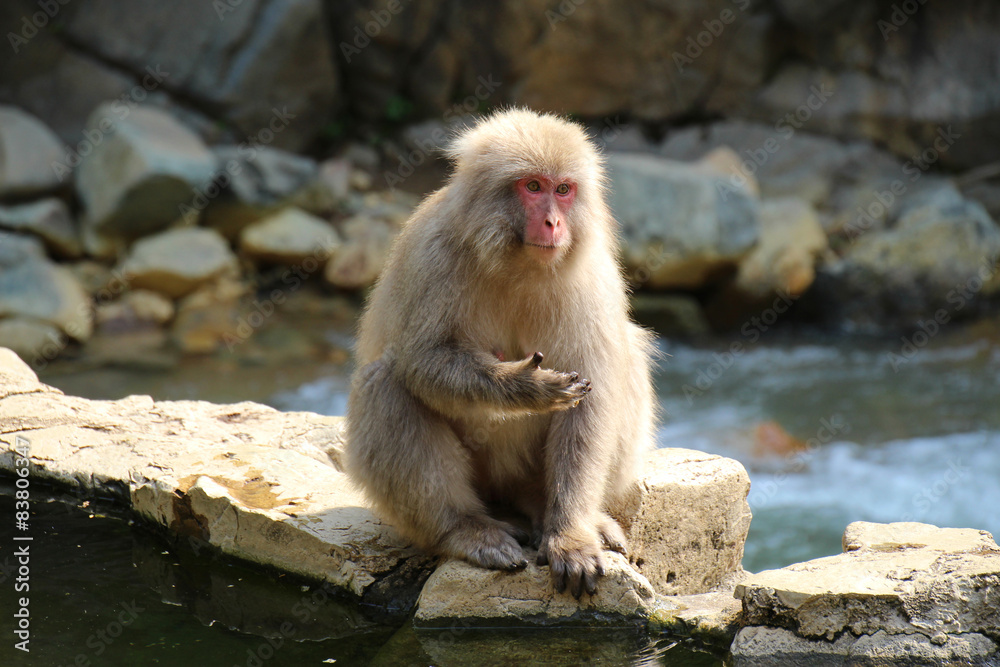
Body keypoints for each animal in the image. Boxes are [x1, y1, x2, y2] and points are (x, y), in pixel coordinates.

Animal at [344, 108, 656, 598]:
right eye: (533, 186)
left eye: (563, 190)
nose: (553, 224)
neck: (516, 261)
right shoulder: (435, 255)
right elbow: (422, 362)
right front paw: (524, 386)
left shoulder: (593, 275)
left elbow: (596, 391)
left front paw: (571, 535)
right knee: (386, 379)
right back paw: (464, 528)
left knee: (629, 356)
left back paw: (552, 510)